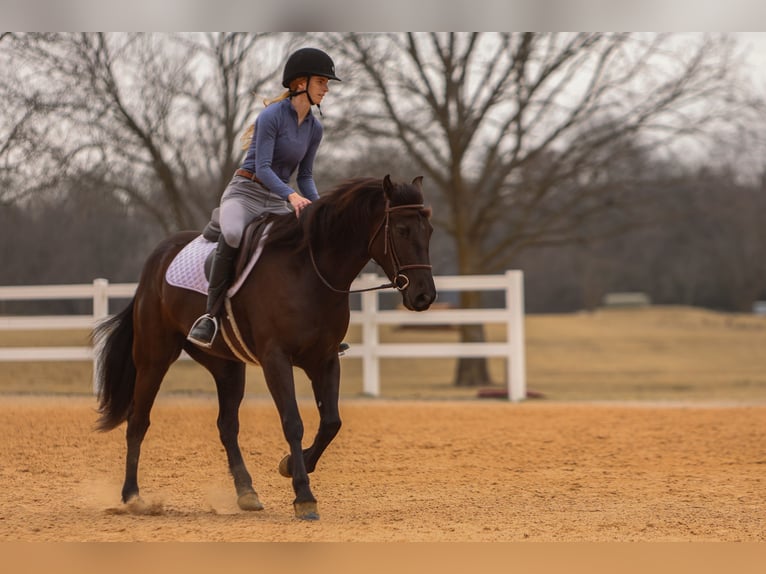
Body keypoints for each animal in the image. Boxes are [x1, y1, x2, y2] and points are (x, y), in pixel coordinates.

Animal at [92, 176, 438, 520]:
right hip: (154, 358)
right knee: (138, 420)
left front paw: (291, 465)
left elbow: (331, 422)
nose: (425, 296)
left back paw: (246, 492)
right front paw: (303, 495)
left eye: (430, 231)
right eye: (401, 230)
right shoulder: (276, 360)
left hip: (226, 366)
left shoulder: (325, 359)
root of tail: (158, 257)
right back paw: (132, 496)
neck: (310, 271)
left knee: (227, 425)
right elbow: (293, 422)